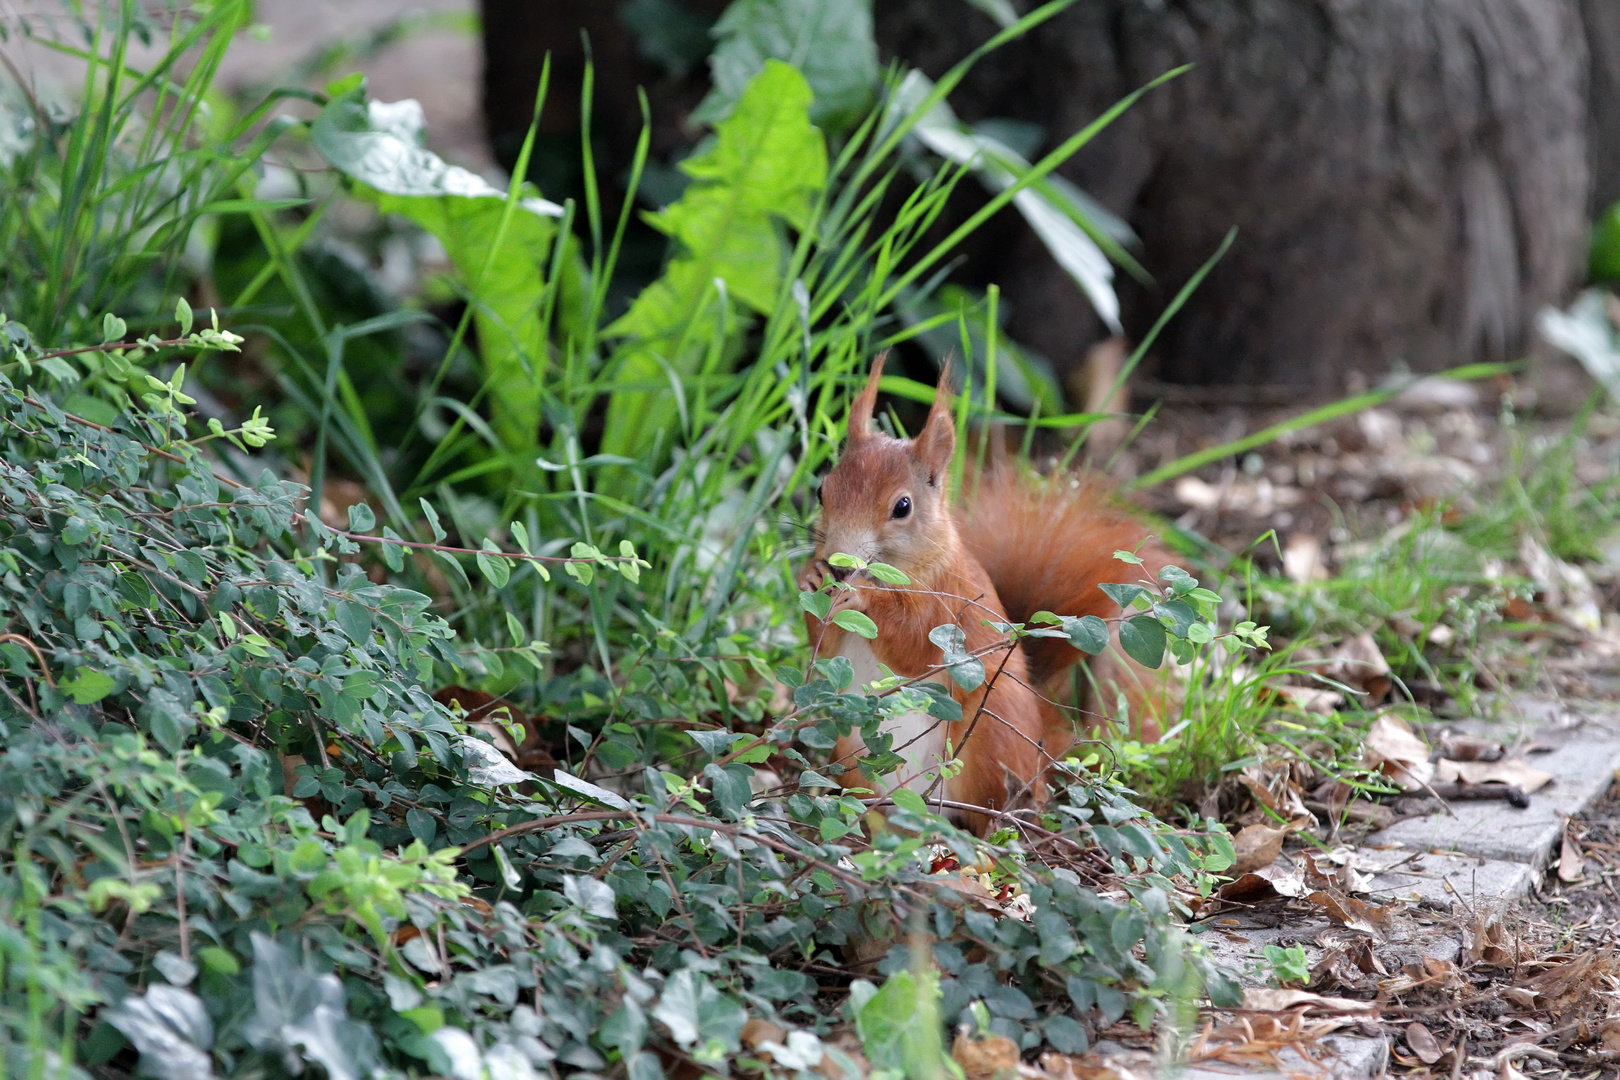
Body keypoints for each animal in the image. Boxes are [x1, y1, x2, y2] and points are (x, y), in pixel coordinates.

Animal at [800, 354, 1172, 835]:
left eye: (902, 507)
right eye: (821, 491)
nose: (839, 563)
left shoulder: (949, 603)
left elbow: (914, 646)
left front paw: (863, 595)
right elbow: (825, 649)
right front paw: (811, 577)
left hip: (987, 737)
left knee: (994, 806)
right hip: (853, 748)